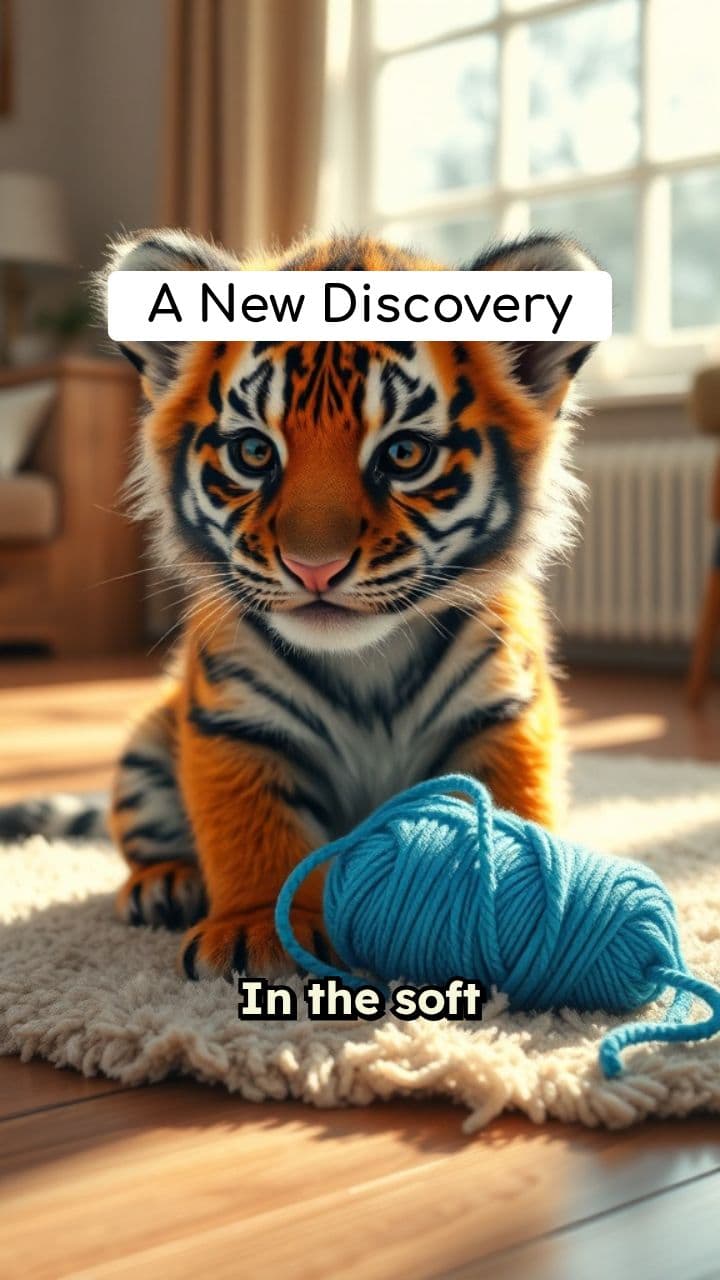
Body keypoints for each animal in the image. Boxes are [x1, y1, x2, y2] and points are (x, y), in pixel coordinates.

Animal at [2, 228, 601, 981]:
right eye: (254, 452)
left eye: (405, 454)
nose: (314, 567)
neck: (368, 661)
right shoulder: (235, 721)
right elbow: (250, 833)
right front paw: (258, 931)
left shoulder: (504, 712)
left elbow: (515, 810)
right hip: (145, 749)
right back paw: (164, 885)